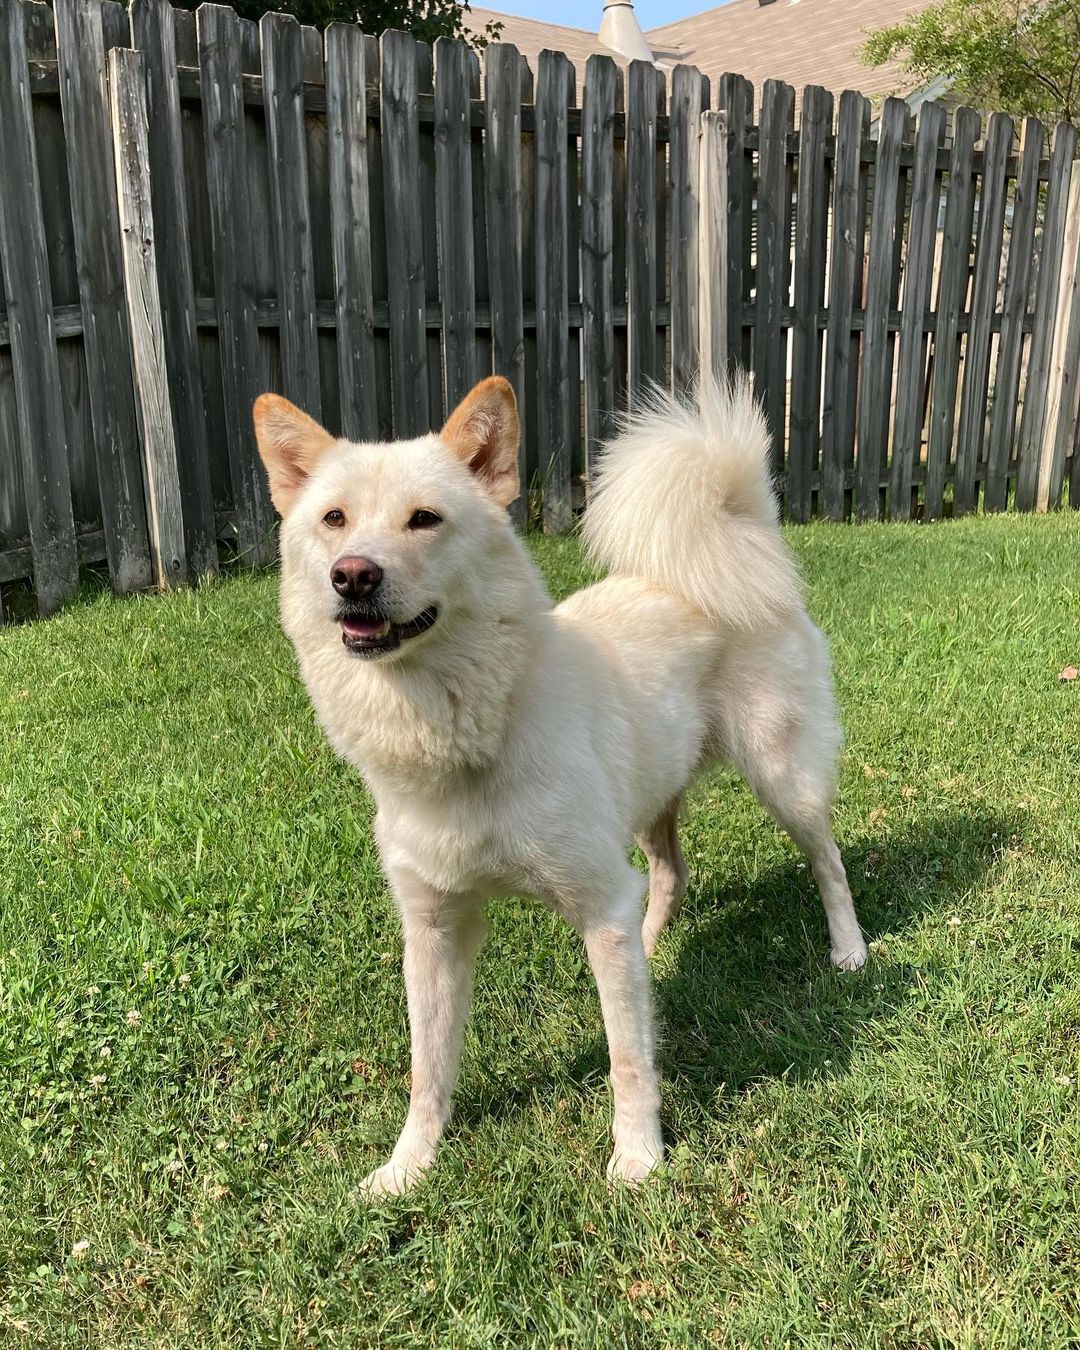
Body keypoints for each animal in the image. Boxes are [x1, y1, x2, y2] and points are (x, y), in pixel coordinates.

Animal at [253, 375, 869, 1198]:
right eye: (333, 518)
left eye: (425, 519)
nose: (352, 575)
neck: (463, 727)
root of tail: (744, 539)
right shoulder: (434, 927)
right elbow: (428, 1067)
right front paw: (408, 1167)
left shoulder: (594, 898)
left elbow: (628, 1059)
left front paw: (638, 1160)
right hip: (647, 805)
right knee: (666, 877)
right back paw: (650, 947)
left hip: (782, 775)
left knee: (826, 860)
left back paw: (849, 949)